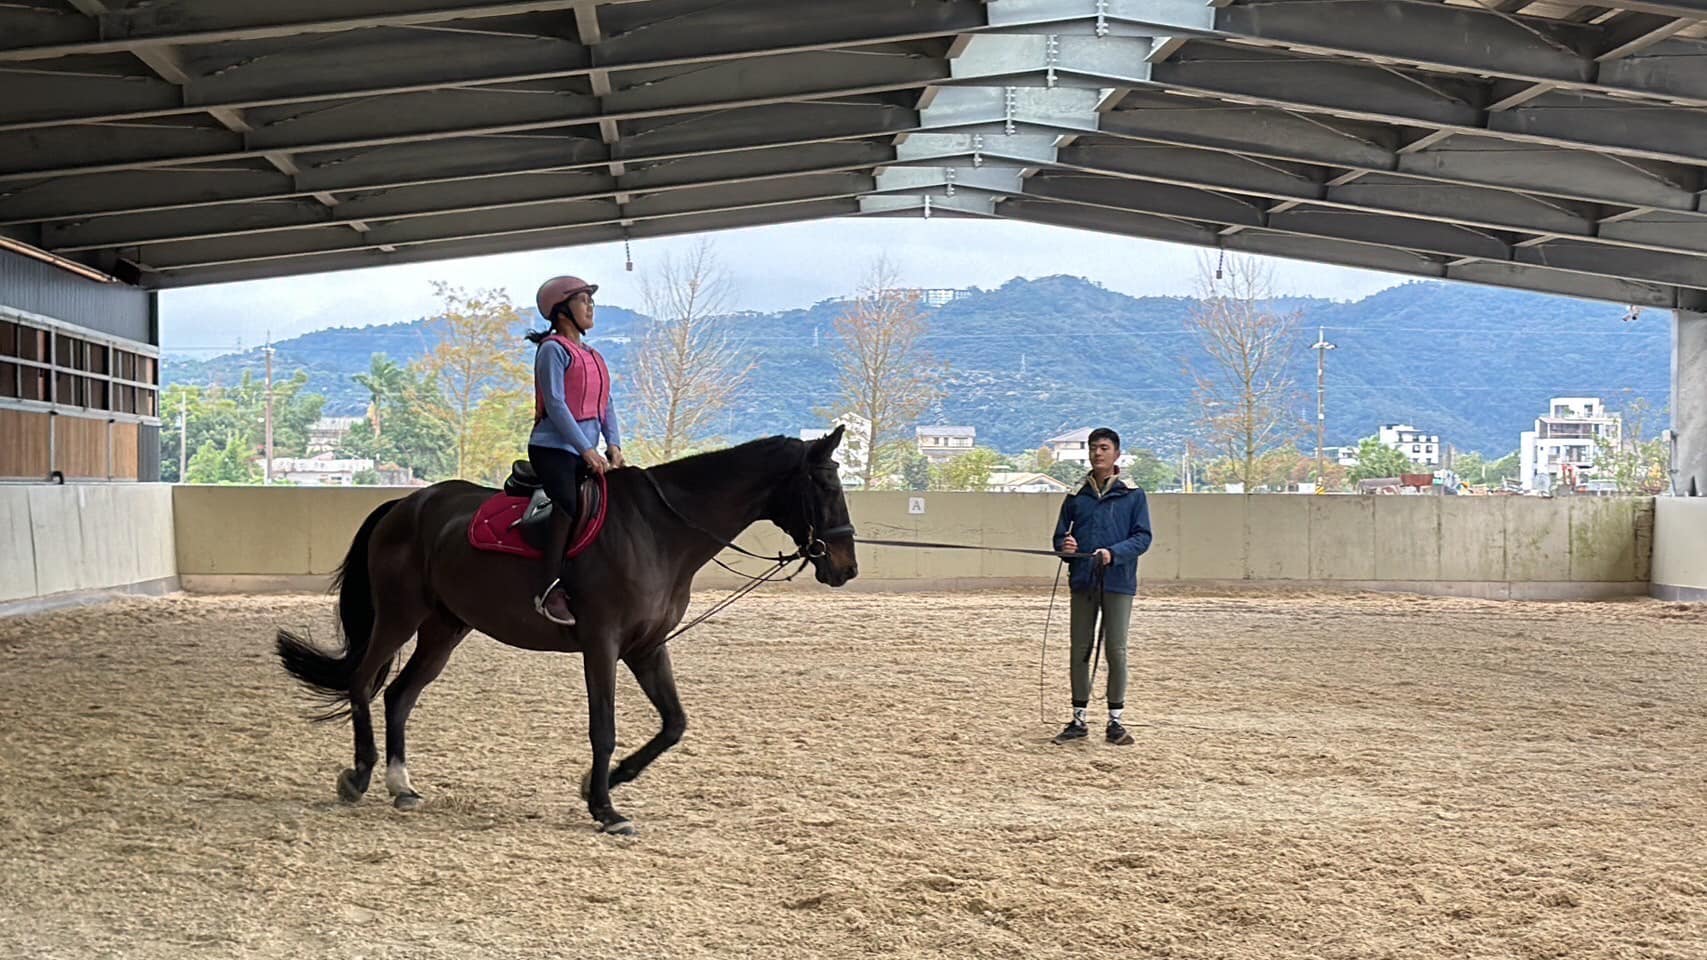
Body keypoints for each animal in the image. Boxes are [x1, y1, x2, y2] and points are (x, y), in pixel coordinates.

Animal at [275, 428, 858, 834]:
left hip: (446, 626)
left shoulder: (646, 648)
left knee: (398, 694)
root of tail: (407, 504)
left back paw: (402, 785)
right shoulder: (602, 644)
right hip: (400, 615)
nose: (845, 567)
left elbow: (674, 724)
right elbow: (604, 728)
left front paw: (606, 783)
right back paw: (358, 776)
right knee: (363, 682)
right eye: (825, 485)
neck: (659, 531)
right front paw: (605, 808)